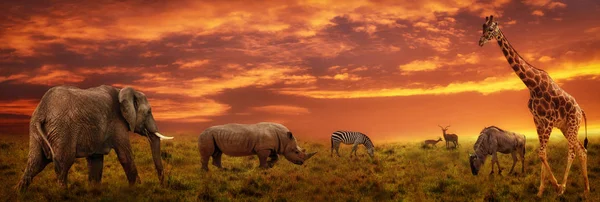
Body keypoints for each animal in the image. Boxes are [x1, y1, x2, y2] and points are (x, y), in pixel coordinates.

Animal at [14, 84, 173, 192]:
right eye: (149, 112)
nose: (163, 185)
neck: (121, 90)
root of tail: (43, 110)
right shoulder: (117, 123)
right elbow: (125, 156)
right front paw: (138, 190)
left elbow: (96, 160)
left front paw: (95, 191)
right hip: (62, 129)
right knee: (63, 161)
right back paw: (63, 194)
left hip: (35, 130)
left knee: (35, 162)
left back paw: (19, 193)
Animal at [478, 15, 592, 196]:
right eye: (482, 28)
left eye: (490, 29)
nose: (480, 41)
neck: (532, 85)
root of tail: (581, 110)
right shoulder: (538, 121)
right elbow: (542, 153)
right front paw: (540, 191)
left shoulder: (548, 121)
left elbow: (541, 153)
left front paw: (556, 186)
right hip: (566, 127)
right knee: (581, 150)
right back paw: (586, 189)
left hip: (573, 125)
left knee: (574, 151)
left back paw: (565, 187)